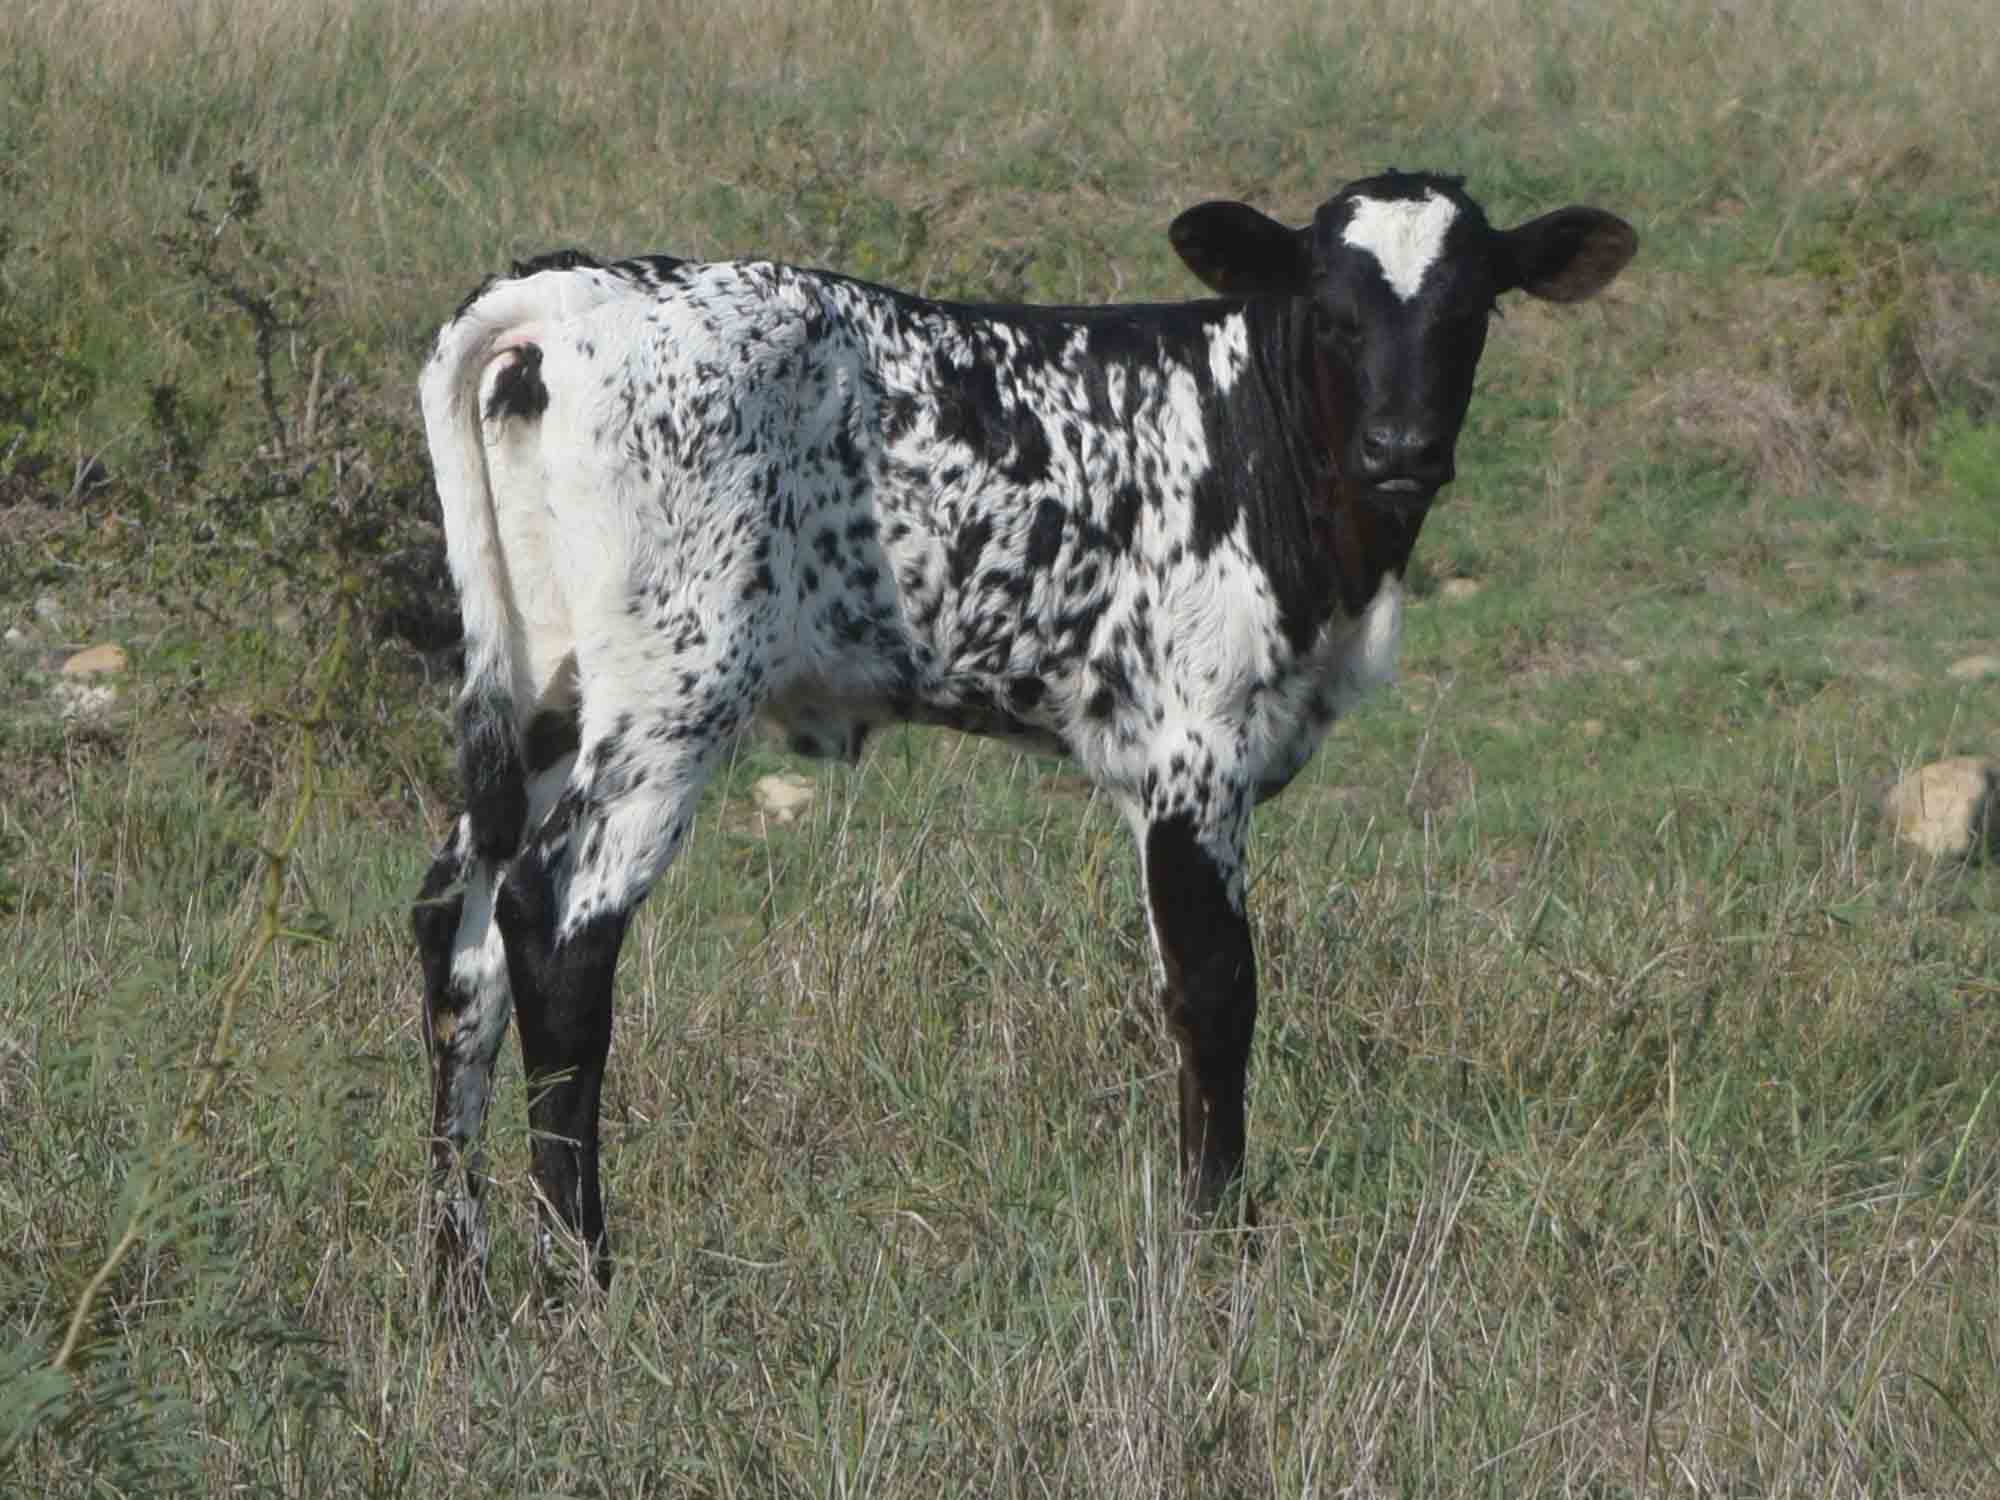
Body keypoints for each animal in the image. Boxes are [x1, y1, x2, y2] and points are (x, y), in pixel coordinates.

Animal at [413, 169, 1636, 1296]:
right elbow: (1214, 992)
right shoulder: (1193, 757)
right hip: (672, 696)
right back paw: (581, 1279)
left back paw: (458, 1279)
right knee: (555, 925)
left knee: (457, 926)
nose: (1402, 446)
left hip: (543, 692)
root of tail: (570, 289)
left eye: (1470, 308)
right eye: (1332, 309)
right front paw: (1217, 1248)